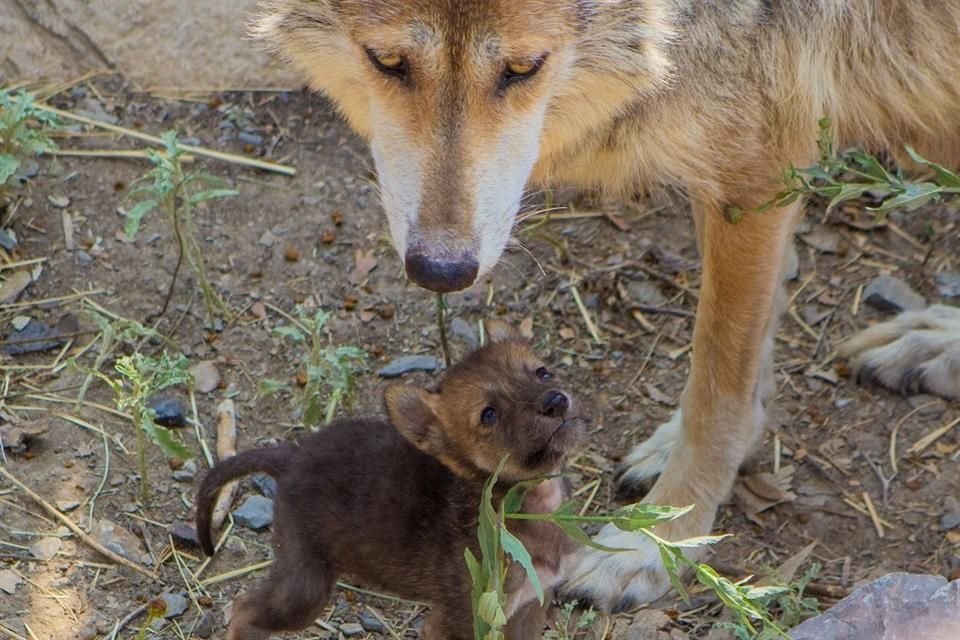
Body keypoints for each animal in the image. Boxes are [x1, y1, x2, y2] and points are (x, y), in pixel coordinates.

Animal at [253, 0, 960, 608]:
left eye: (523, 68)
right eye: (388, 62)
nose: (441, 270)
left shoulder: (758, 163)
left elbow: (719, 386)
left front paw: (661, 539)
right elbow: (742, 370)